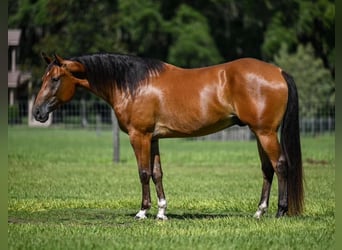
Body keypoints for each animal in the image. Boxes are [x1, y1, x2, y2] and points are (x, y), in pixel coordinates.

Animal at [32, 52, 304, 219]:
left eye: (55, 79)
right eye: (44, 77)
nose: (37, 112)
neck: (133, 84)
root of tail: (279, 71)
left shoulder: (139, 136)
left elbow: (143, 173)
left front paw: (143, 212)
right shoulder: (153, 138)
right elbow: (157, 173)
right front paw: (162, 212)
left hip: (265, 133)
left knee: (280, 165)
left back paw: (280, 211)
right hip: (259, 133)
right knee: (267, 170)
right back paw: (259, 211)